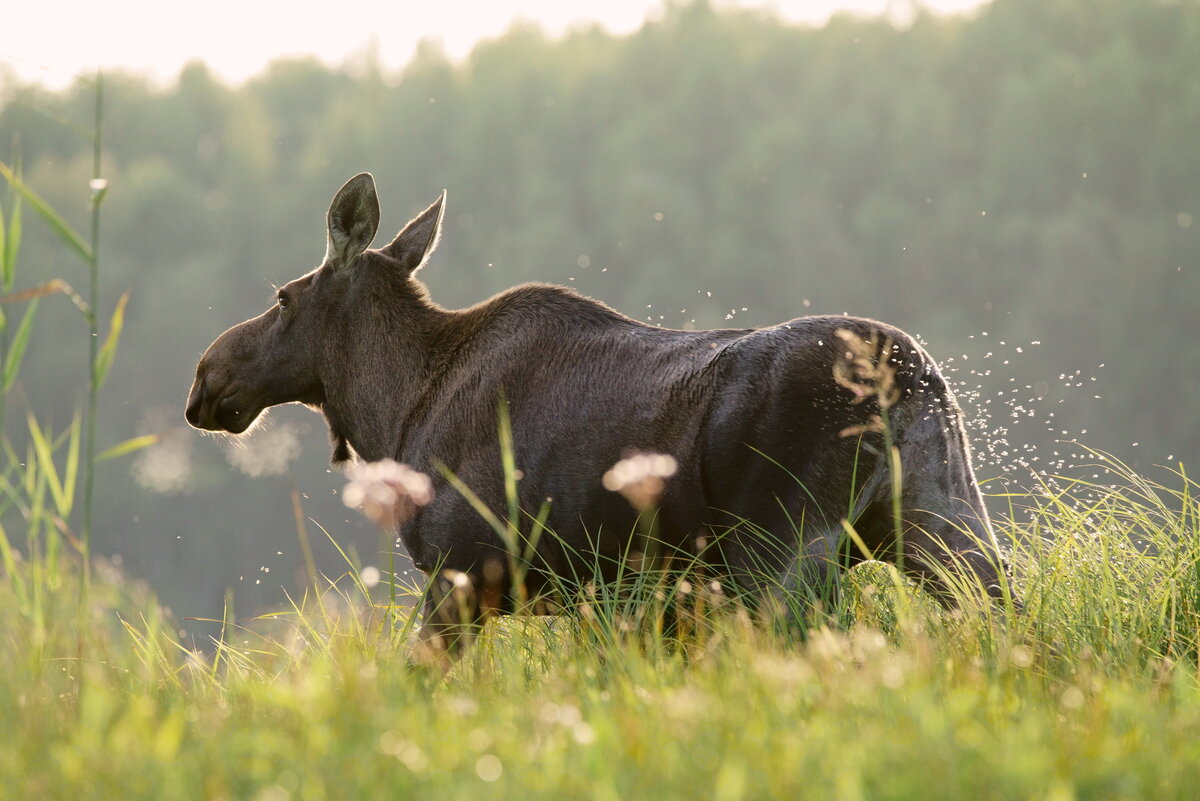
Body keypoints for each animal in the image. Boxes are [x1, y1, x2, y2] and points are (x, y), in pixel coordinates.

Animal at [184, 172, 1012, 652]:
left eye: (283, 297)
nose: (205, 376)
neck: (394, 410)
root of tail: (907, 374)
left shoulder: (465, 569)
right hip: (941, 514)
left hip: (781, 542)